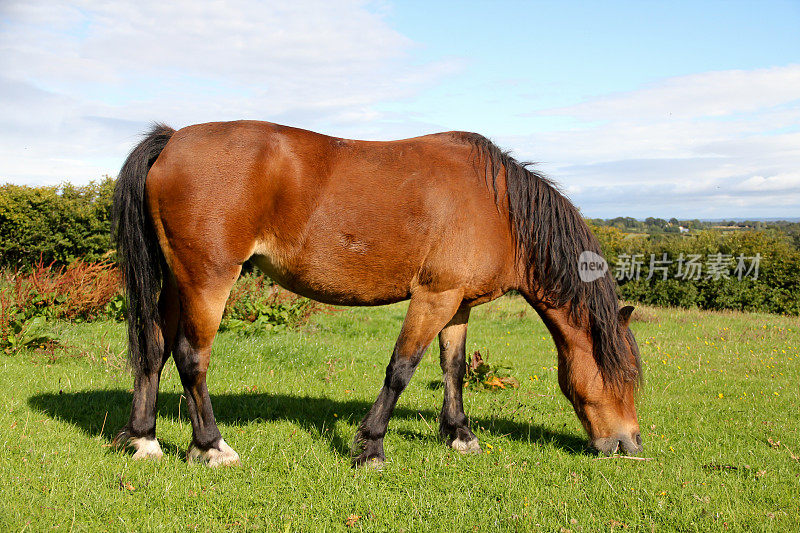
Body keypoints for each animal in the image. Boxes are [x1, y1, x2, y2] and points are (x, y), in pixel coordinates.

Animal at [111, 120, 644, 466]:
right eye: (626, 377)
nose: (630, 444)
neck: (497, 207)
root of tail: (172, 139)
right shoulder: (433, 297)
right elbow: (402, 368)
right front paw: (370, 447)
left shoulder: (457, 304)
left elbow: (453, 368)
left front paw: (460, 435)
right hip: (208, 280)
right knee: (191, 357)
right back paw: (210, 446)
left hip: (176, 281)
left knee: (155, 349)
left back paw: (143, 440)